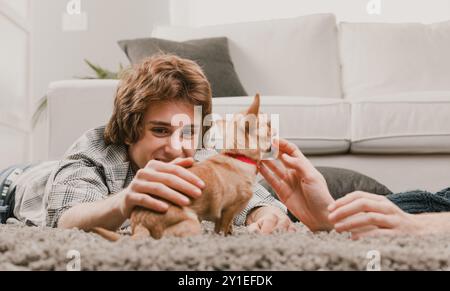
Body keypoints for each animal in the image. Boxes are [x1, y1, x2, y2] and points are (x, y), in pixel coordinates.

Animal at [93, 94, 272, 241]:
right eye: (269, 126)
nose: (274, 129)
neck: (237, 156)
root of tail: (140, 226)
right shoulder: (228, 209)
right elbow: (224, 226)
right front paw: (225, 238)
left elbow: (225, 227)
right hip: (192, 222)